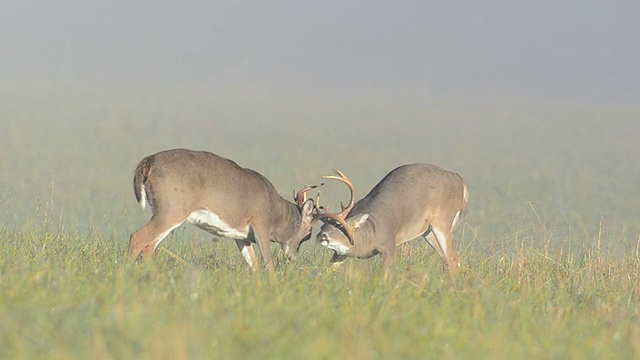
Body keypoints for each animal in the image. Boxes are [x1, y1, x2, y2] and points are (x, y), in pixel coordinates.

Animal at [127, 148, 322, 272]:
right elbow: (269, 263)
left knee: (149, 247)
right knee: (137, 238)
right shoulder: (261, 223)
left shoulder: (242, 237)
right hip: (172, 210)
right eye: (308, 233)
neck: (278, 214)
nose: (292, 257)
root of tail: (150, 162)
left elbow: (254, 265)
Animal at [318, 164, 468, 272]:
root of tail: (460, 181)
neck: (369, 231)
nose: (321, 236)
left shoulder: (388, 245)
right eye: (322, 226)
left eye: (339, 226)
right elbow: (327, 270)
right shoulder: (340, 254)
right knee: (446, 260)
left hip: (442, 222)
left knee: (452, 259)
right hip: (428, 231)